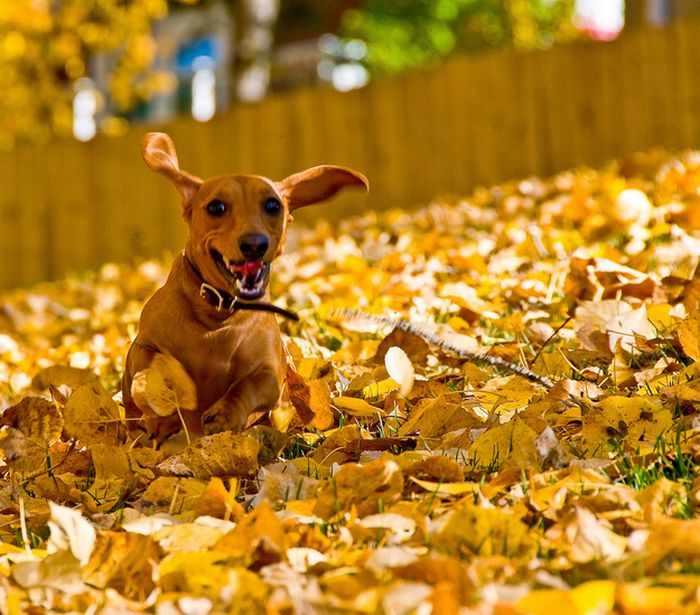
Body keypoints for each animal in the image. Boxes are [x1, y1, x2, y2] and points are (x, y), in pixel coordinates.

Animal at [122, 132, 370, 440]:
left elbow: (247, 385)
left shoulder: (269, 373)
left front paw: (223, 414)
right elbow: (153, 364)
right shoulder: (142, 347)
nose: (254, 244)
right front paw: (169, 397)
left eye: (273, 205)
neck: (218, 315)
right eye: (215, 206)